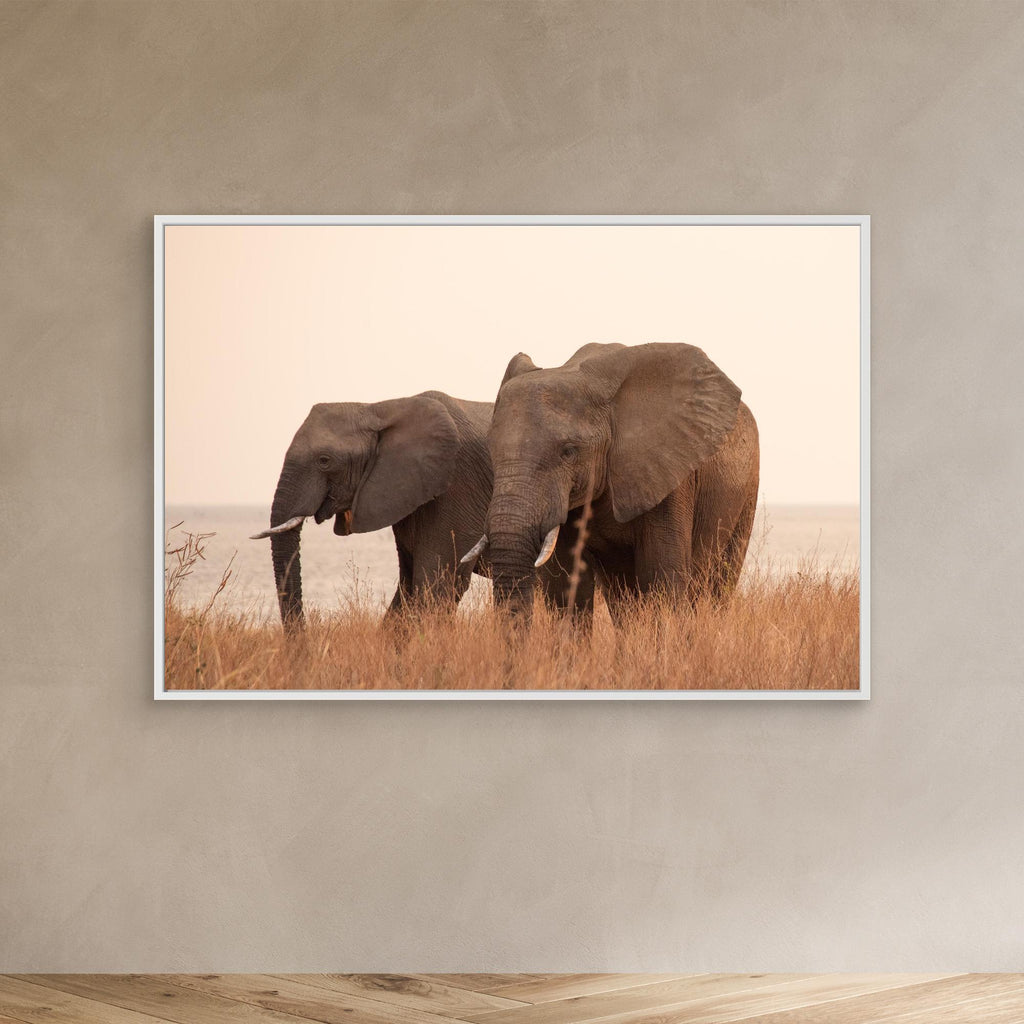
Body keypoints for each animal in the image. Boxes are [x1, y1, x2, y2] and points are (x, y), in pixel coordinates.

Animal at [460, 342, 759, 623]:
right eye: (491, 449)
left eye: (568, 452)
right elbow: (565, 584)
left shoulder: (671, 475)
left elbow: (662, 576)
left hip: (748, 489)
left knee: (719, 582)